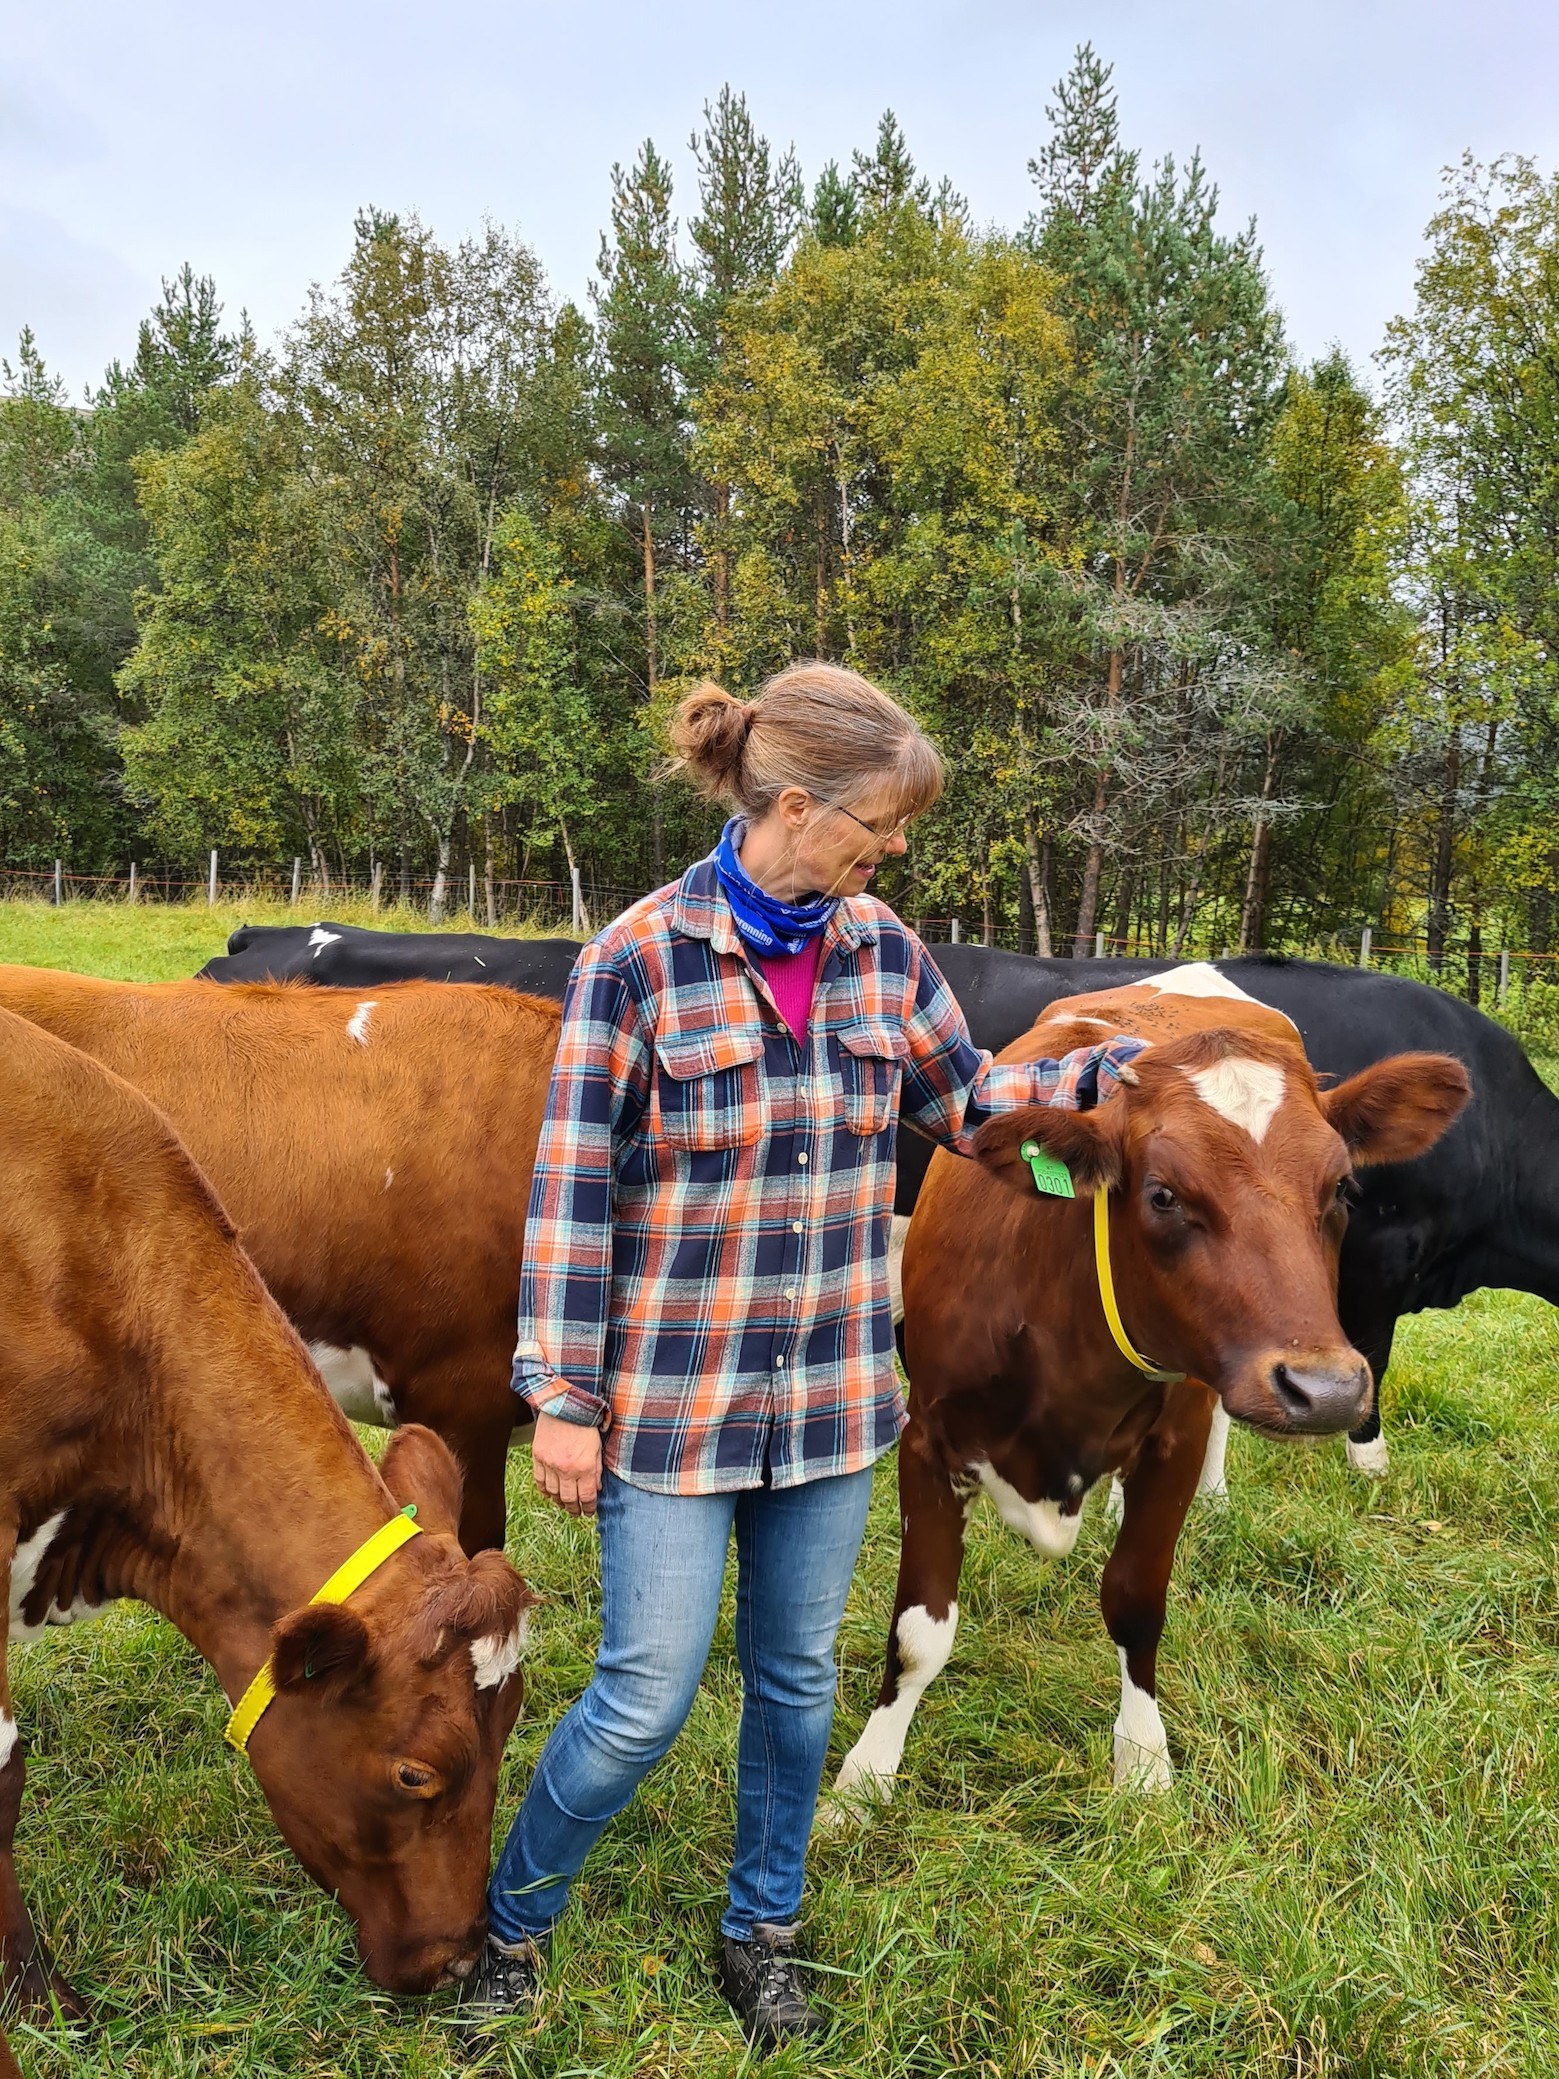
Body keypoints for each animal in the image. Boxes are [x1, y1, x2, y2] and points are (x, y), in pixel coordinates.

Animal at [835, 964, 1471, 1812]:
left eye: (1340, 1187)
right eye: (1163, 1193)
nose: (1327, 1389)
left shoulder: (1177, 1438)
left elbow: (1135, 1604)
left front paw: (1140, 1759)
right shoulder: (928, 1436)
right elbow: (917, 1632)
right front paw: (863, 1777)